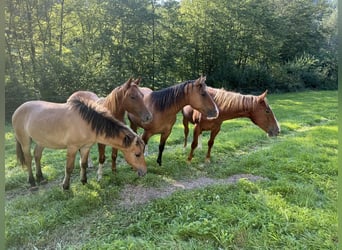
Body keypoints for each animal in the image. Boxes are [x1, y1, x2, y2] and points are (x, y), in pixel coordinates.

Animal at [11, 95, 146, 189]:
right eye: (137, 154)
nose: (144, 172)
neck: (86, 122)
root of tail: (18, 109)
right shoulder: (72, 148)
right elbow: (69, 168)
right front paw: (65, 186)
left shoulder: (85, 147)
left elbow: (84, 164)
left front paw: (84, 181)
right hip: (25, 141)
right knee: (28, 159)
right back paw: (32, 183)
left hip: (41, 141)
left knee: (37, 156)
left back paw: (41, 178)